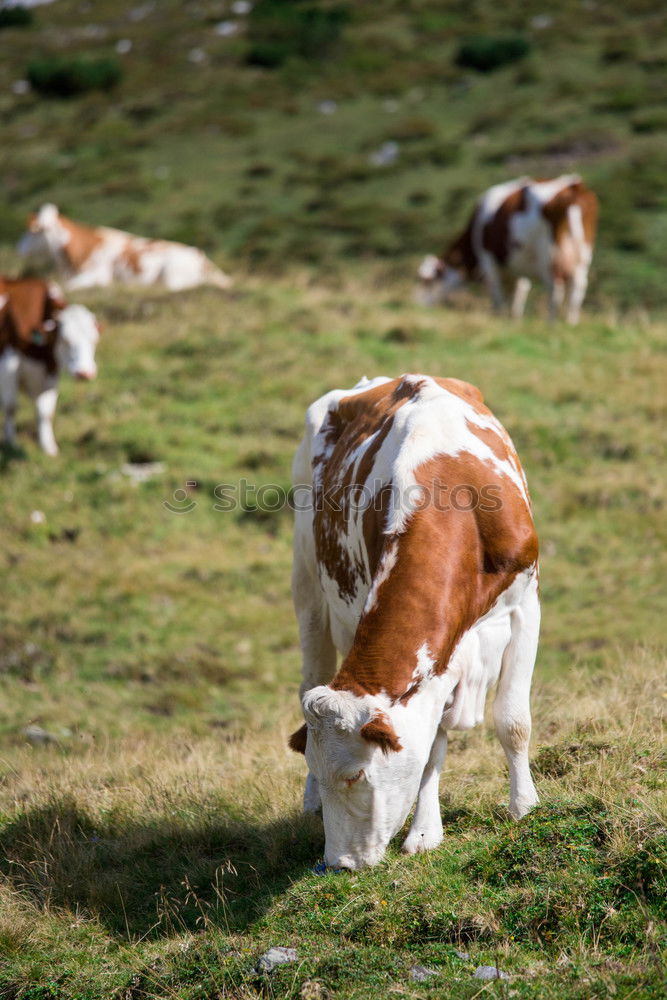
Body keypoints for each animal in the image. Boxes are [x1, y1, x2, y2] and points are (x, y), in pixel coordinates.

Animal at [0, 278, 100, 458]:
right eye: (66, 340)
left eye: (94, 340)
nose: (85, 373)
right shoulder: (7, 363)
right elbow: (11, 407)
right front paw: (11, 444)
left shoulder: (51, 369)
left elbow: (45, 411)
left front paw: (48, 446)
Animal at [17, 203, 232, 292]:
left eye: (32, 230)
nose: (19, 247)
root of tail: (200, 255)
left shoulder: (98, 275)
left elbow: (66, 287)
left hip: (172, 276)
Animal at [290, 374, 540, 868]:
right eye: (318, 769)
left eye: (355, 775)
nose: (339, 864)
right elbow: (431, 745)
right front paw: (425, 832)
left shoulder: (525, 606)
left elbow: (513, 721)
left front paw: (525, 806)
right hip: (308, 585)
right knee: (310, 674)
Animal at [418, 175, 600, 324]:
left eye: (427, 280)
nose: (417, 304)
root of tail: (574, 187)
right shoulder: (517, 264)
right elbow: (519, 293)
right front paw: (514, 320)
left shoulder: (488, 260)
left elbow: (497, 295)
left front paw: (499, 319)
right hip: (582, 253)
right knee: (578, 287)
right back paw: (570, 322)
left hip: (549, 254)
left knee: (555, 288)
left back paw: (551, 324)